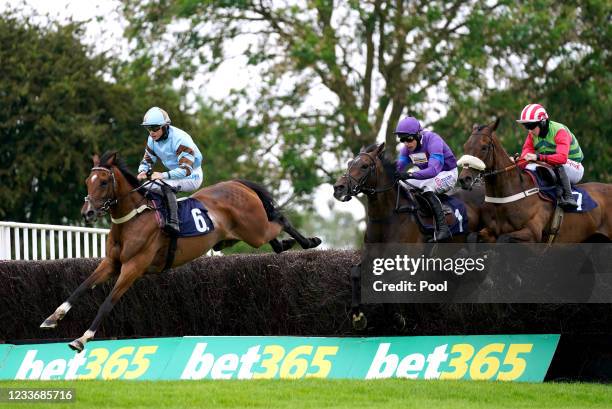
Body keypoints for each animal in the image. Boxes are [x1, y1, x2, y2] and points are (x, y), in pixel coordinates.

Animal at [40, 151, 322, 350]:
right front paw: (52, 317)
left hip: (255, 230)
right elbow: (81, 287)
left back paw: (310, 241)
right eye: (88, 180)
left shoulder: (133, 267)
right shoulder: (111, 263)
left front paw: (82, 339)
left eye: (104, 181)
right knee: (275, 238)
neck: (133, 218)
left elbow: (108, 302)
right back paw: (287, 245)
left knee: (280, 220)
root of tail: (238, 184)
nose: (87, 212)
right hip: (243, 234)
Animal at [332, 143, 494, 328]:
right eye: (349, 163)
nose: (338, 188)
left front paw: (397, 316)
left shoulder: (404, 266)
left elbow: (391, 286)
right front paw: (358, 316)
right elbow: (355, 273)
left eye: (364, 166)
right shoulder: (371, 259)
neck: (389, 218)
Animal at [460, 117, 612, 242]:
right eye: (465, 146)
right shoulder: (491, 231)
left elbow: (504, 239)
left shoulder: (533, 233)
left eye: (484, 147)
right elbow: (472, 237)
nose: (464, 179)